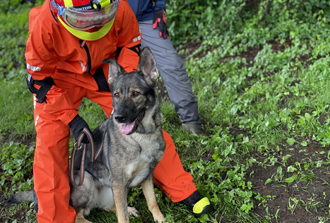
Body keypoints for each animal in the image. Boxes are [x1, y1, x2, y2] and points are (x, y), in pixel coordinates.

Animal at [8, 46, 168, 222]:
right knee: (78, 216)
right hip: (87, 179)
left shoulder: (146, 176)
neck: (141, 136)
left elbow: (151, 202)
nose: (118, 117)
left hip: (110, 192)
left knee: (110, 208)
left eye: (135, 93)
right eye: (116, 95)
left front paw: (161, 219)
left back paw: (130, 209)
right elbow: (123, 217)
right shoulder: (119, 183)